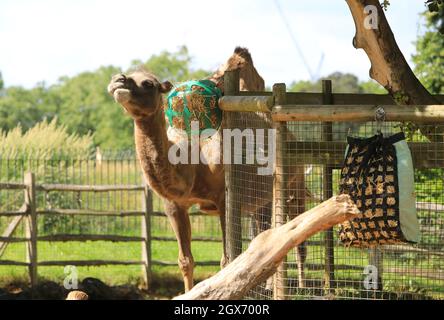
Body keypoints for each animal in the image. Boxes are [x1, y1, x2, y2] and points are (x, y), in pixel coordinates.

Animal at [107, 47, 306, 292]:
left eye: (148, 83)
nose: (118, 80)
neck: (193, 159)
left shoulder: (224, 199)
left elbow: (227, 259)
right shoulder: (174, 205)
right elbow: (185, 260)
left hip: (294, 184)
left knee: (297, 240)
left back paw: (303, 288)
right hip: (262, 200)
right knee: (264, 233)